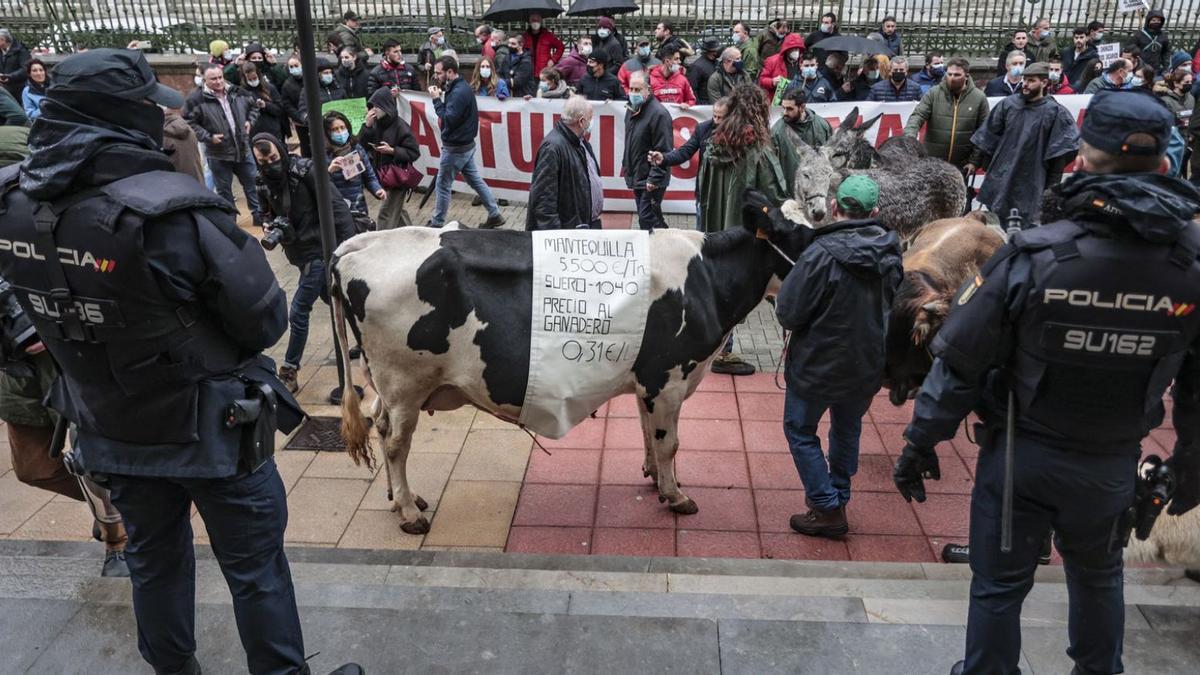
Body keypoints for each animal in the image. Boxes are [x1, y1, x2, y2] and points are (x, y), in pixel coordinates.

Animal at [333, 189, 811, 530]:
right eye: (803, 237)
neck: (706, 278)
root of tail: (358, 245)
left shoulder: (648, 378)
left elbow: (647, 431)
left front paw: (655, 479)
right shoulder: (670, 377)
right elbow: (669, 442)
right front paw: (676, 496)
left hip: (389, 386)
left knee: (379, 426)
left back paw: (400, 500)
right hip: (405, 383)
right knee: (395, 442)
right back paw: (411, 514)